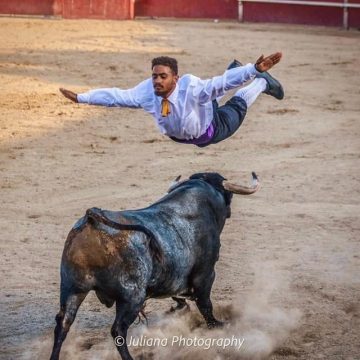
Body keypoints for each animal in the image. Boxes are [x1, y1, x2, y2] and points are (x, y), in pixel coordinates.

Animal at [50, 172, 258, 360]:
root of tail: (93, 219)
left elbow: (182, 297)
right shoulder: (205, 274)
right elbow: (205, 304)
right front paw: (217, 325)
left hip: (72, 288)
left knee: (63, 323)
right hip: (132, 296)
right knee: (118, 330)